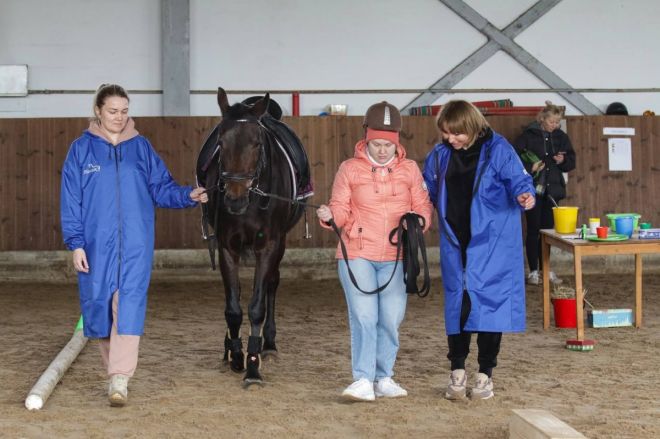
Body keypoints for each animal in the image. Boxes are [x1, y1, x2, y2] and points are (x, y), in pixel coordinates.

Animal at [197, 88, 308, 384]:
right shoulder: (226, 246)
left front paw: (254, 364)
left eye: (257, 143)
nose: (234, 199)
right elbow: (233, 309)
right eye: (221, 142)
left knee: (271, 284)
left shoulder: (269, 246)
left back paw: (268, 344)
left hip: (280, 244)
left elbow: (257, 306)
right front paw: (236, 354)